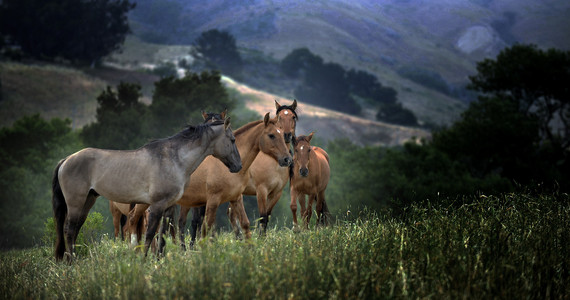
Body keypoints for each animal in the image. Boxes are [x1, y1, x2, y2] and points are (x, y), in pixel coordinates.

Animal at [51, 117, 240, 260]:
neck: (174, 159)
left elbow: (162, 234)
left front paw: (158, 260)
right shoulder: (157, 205)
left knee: (75, 228)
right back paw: (72, 261)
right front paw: (144, 261)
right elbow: (150, 234)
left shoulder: (168, 206)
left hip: (88, 200)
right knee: (69, 229)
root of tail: (66, 160)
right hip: (75, 202)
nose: (238, 166)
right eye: (232, 140)